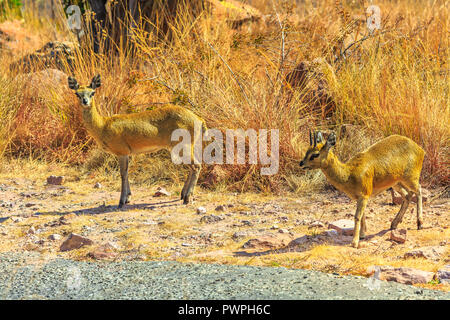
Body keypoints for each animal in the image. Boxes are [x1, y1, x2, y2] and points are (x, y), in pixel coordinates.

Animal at [68, 75, 206, 210]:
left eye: (92, 92)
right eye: (77, 94)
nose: (85, 101)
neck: (103, 125)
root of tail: (199, 119)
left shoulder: (122, 153)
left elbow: (123, 174)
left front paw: (121, 201)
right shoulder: (127, 154)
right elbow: (127, 172)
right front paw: (128, 197)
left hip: (183, 148)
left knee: (196, 166)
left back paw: (187, 198)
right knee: (193, 167)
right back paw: (183, 195)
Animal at [298, 131, 426, 249]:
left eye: (315, 154)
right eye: (307, 151)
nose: (301, 163)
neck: (349, 173)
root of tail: (419, 149)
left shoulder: (363, 196)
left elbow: (357, 216)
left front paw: (354, 242)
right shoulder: (360, 197)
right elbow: (363, 215)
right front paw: (362, 235)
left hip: (410, 179)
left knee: (419, 191)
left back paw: (420, 224)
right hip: (396, 183)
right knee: (407, 196)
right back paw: (394, 224)